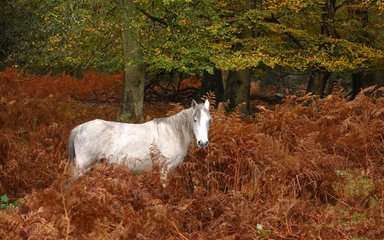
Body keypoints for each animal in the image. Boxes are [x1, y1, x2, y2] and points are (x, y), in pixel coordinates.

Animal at [68, 99, 212, 184]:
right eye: (194, 120)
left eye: (209, 121)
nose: (203, 143)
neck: (173, 133)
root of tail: (80, 128)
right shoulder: (164, 168)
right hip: (82, 165)